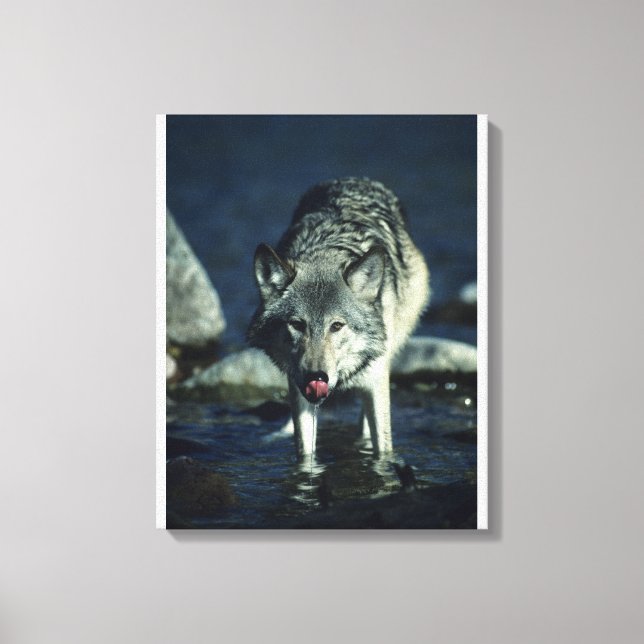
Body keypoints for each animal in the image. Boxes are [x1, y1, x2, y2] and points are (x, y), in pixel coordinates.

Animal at [248, 178, 430, 457]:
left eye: (336, 326)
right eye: (297, 324)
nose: (316, 377)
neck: (326, 253)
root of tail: (357, 180)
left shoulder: (375, 382)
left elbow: (383, 448)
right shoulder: (298, 390)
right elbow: (305, 451)